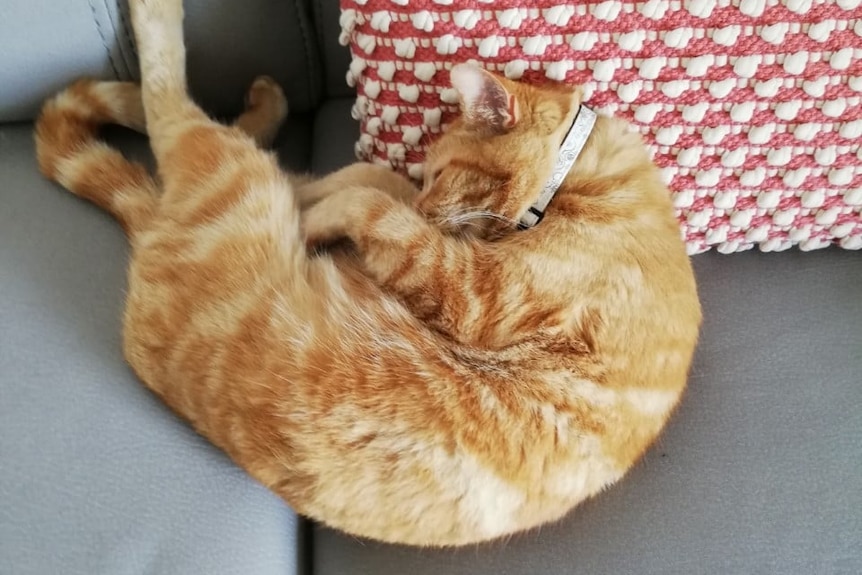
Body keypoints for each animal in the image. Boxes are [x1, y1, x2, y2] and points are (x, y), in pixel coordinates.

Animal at [35, 0, 704, 548]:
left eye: (442, 173)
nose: (430, 207)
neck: (577, 183)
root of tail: (148, 226)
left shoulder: (474, 290)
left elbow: (371, 204)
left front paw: (322, 220)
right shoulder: (446, 245)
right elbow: (372, 179)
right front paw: (336, 206)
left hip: (229, 176)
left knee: (172, 103)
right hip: (233, 172)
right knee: (221, 134)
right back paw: (266, 111)